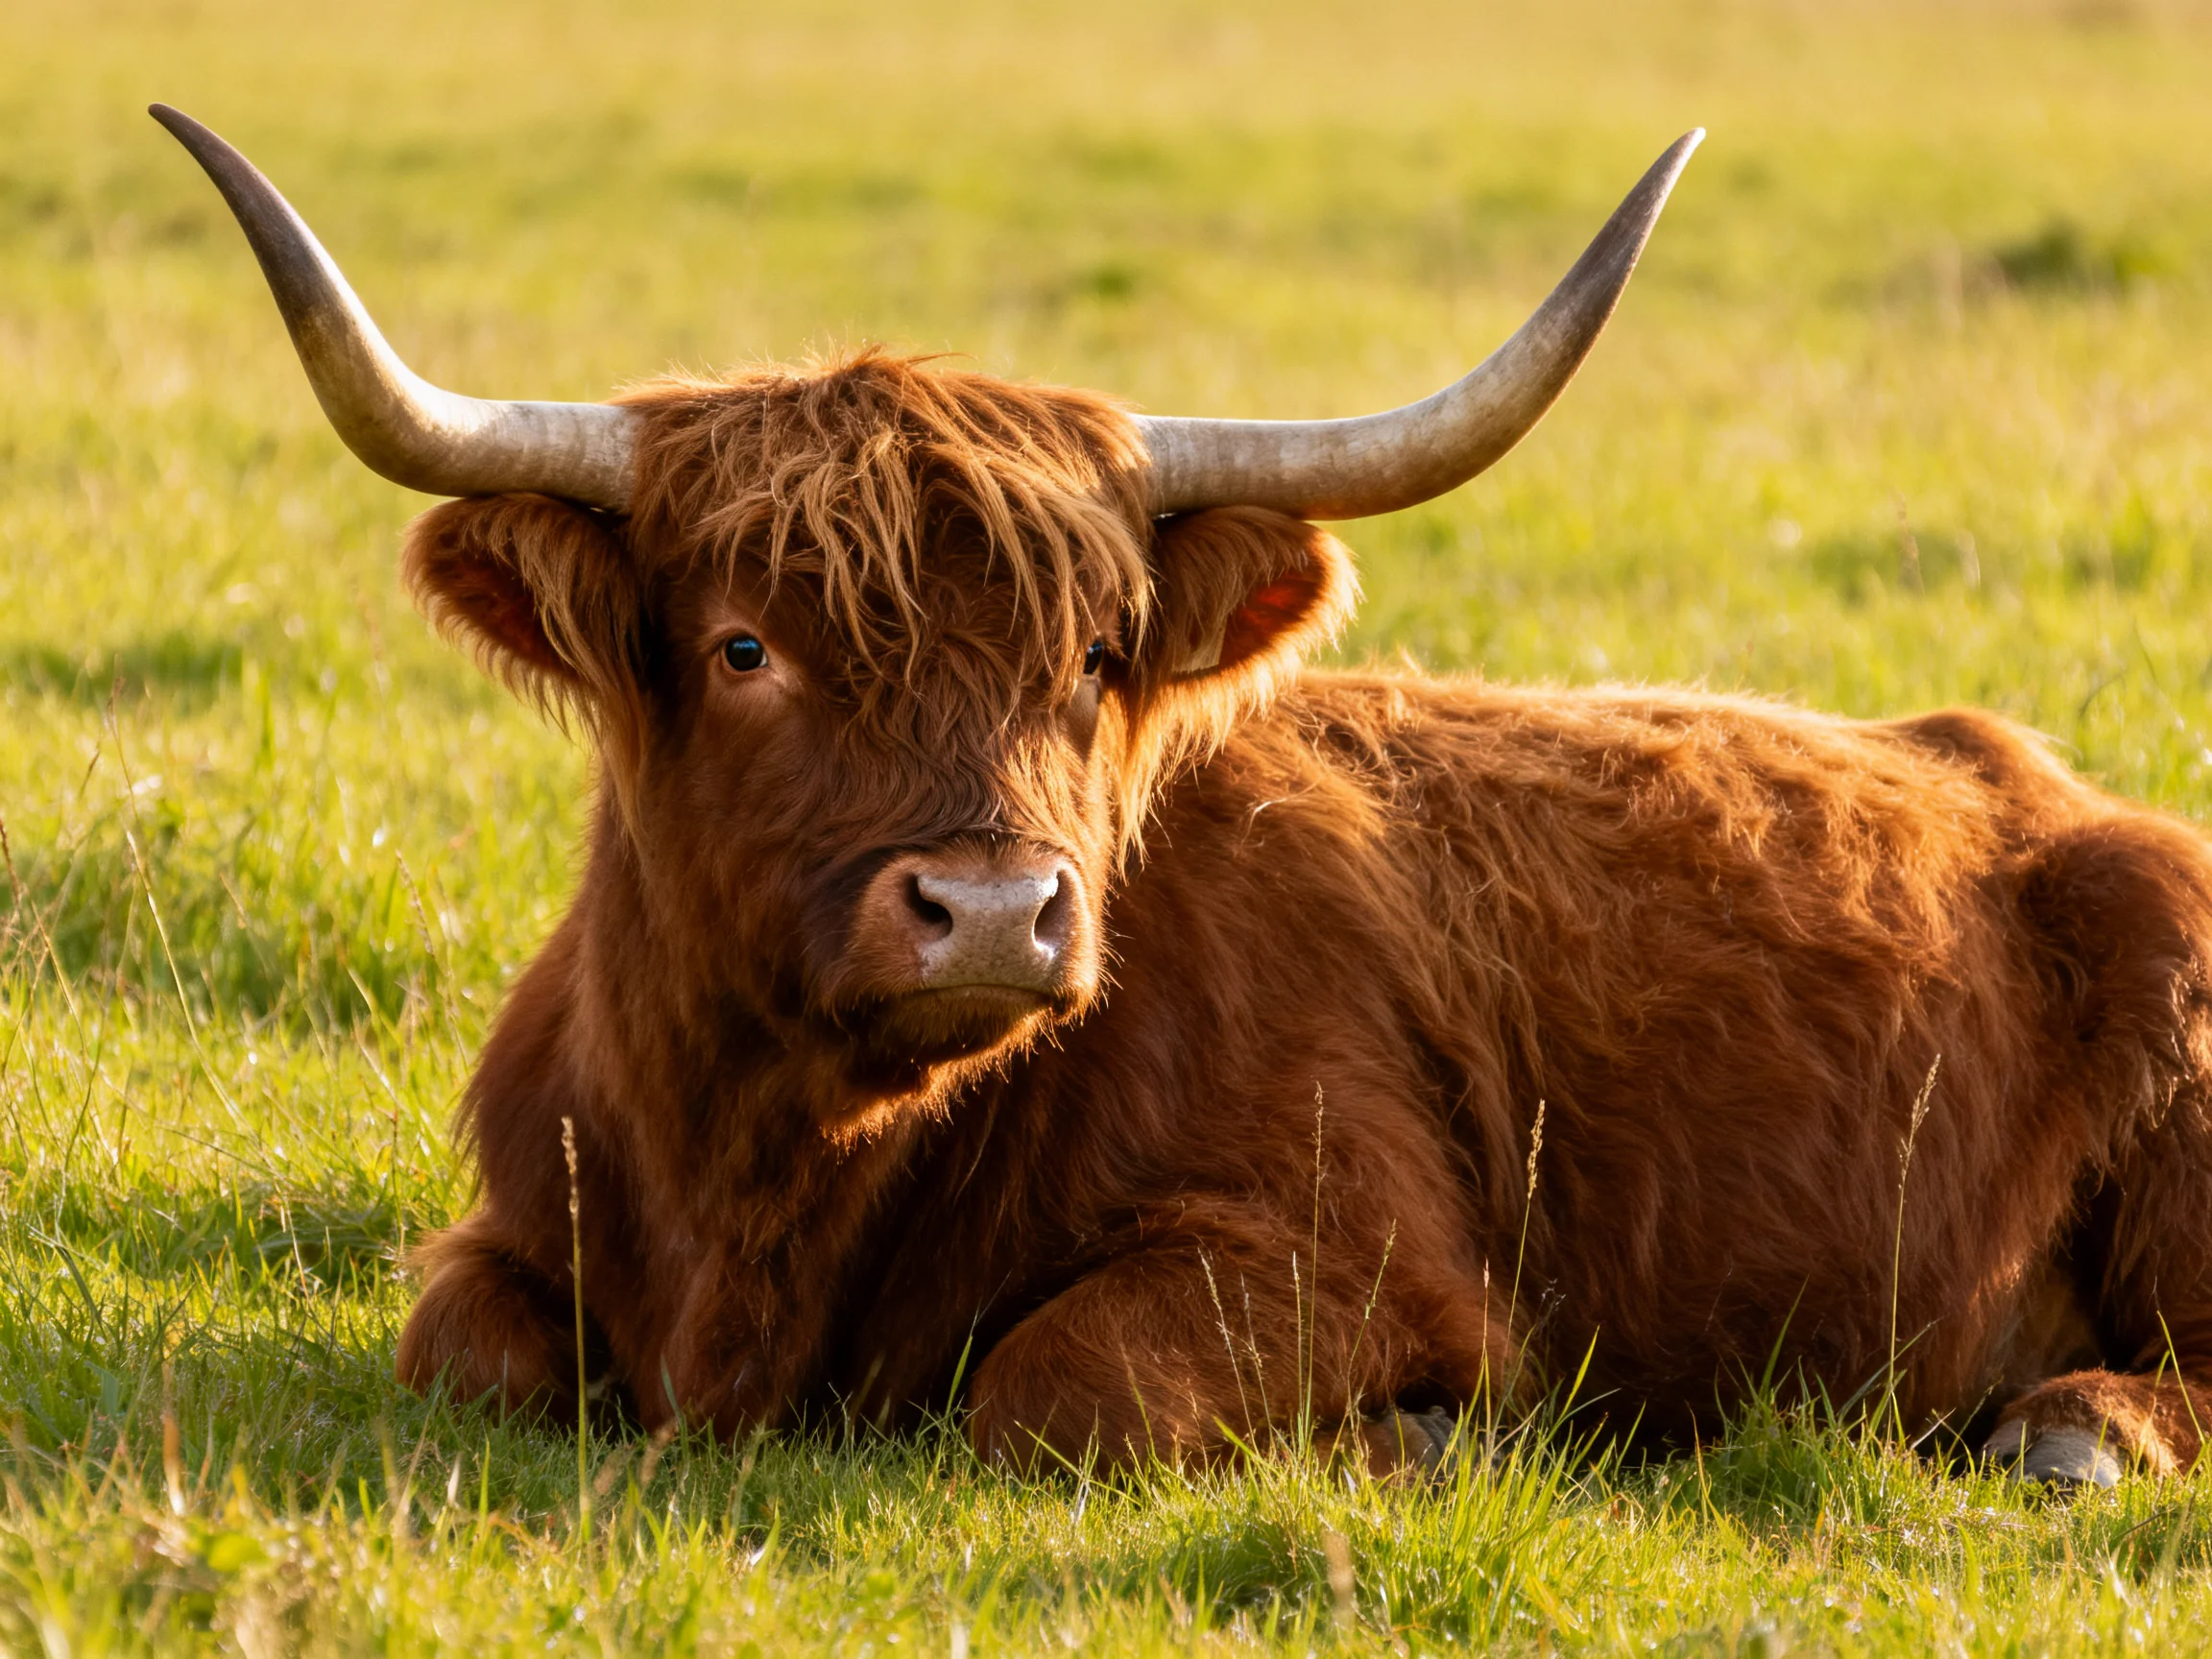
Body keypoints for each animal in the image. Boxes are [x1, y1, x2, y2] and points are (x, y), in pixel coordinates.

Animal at [156, 103, 2212, 1489]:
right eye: (743, 645)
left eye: (1088, 659)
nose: (992, 911)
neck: (772, 1188)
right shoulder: (514, 1244)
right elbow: (462, 1344)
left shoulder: (1354, 1251)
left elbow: (1053, 1386)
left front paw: (1418, 1446)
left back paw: (2072, 1433)